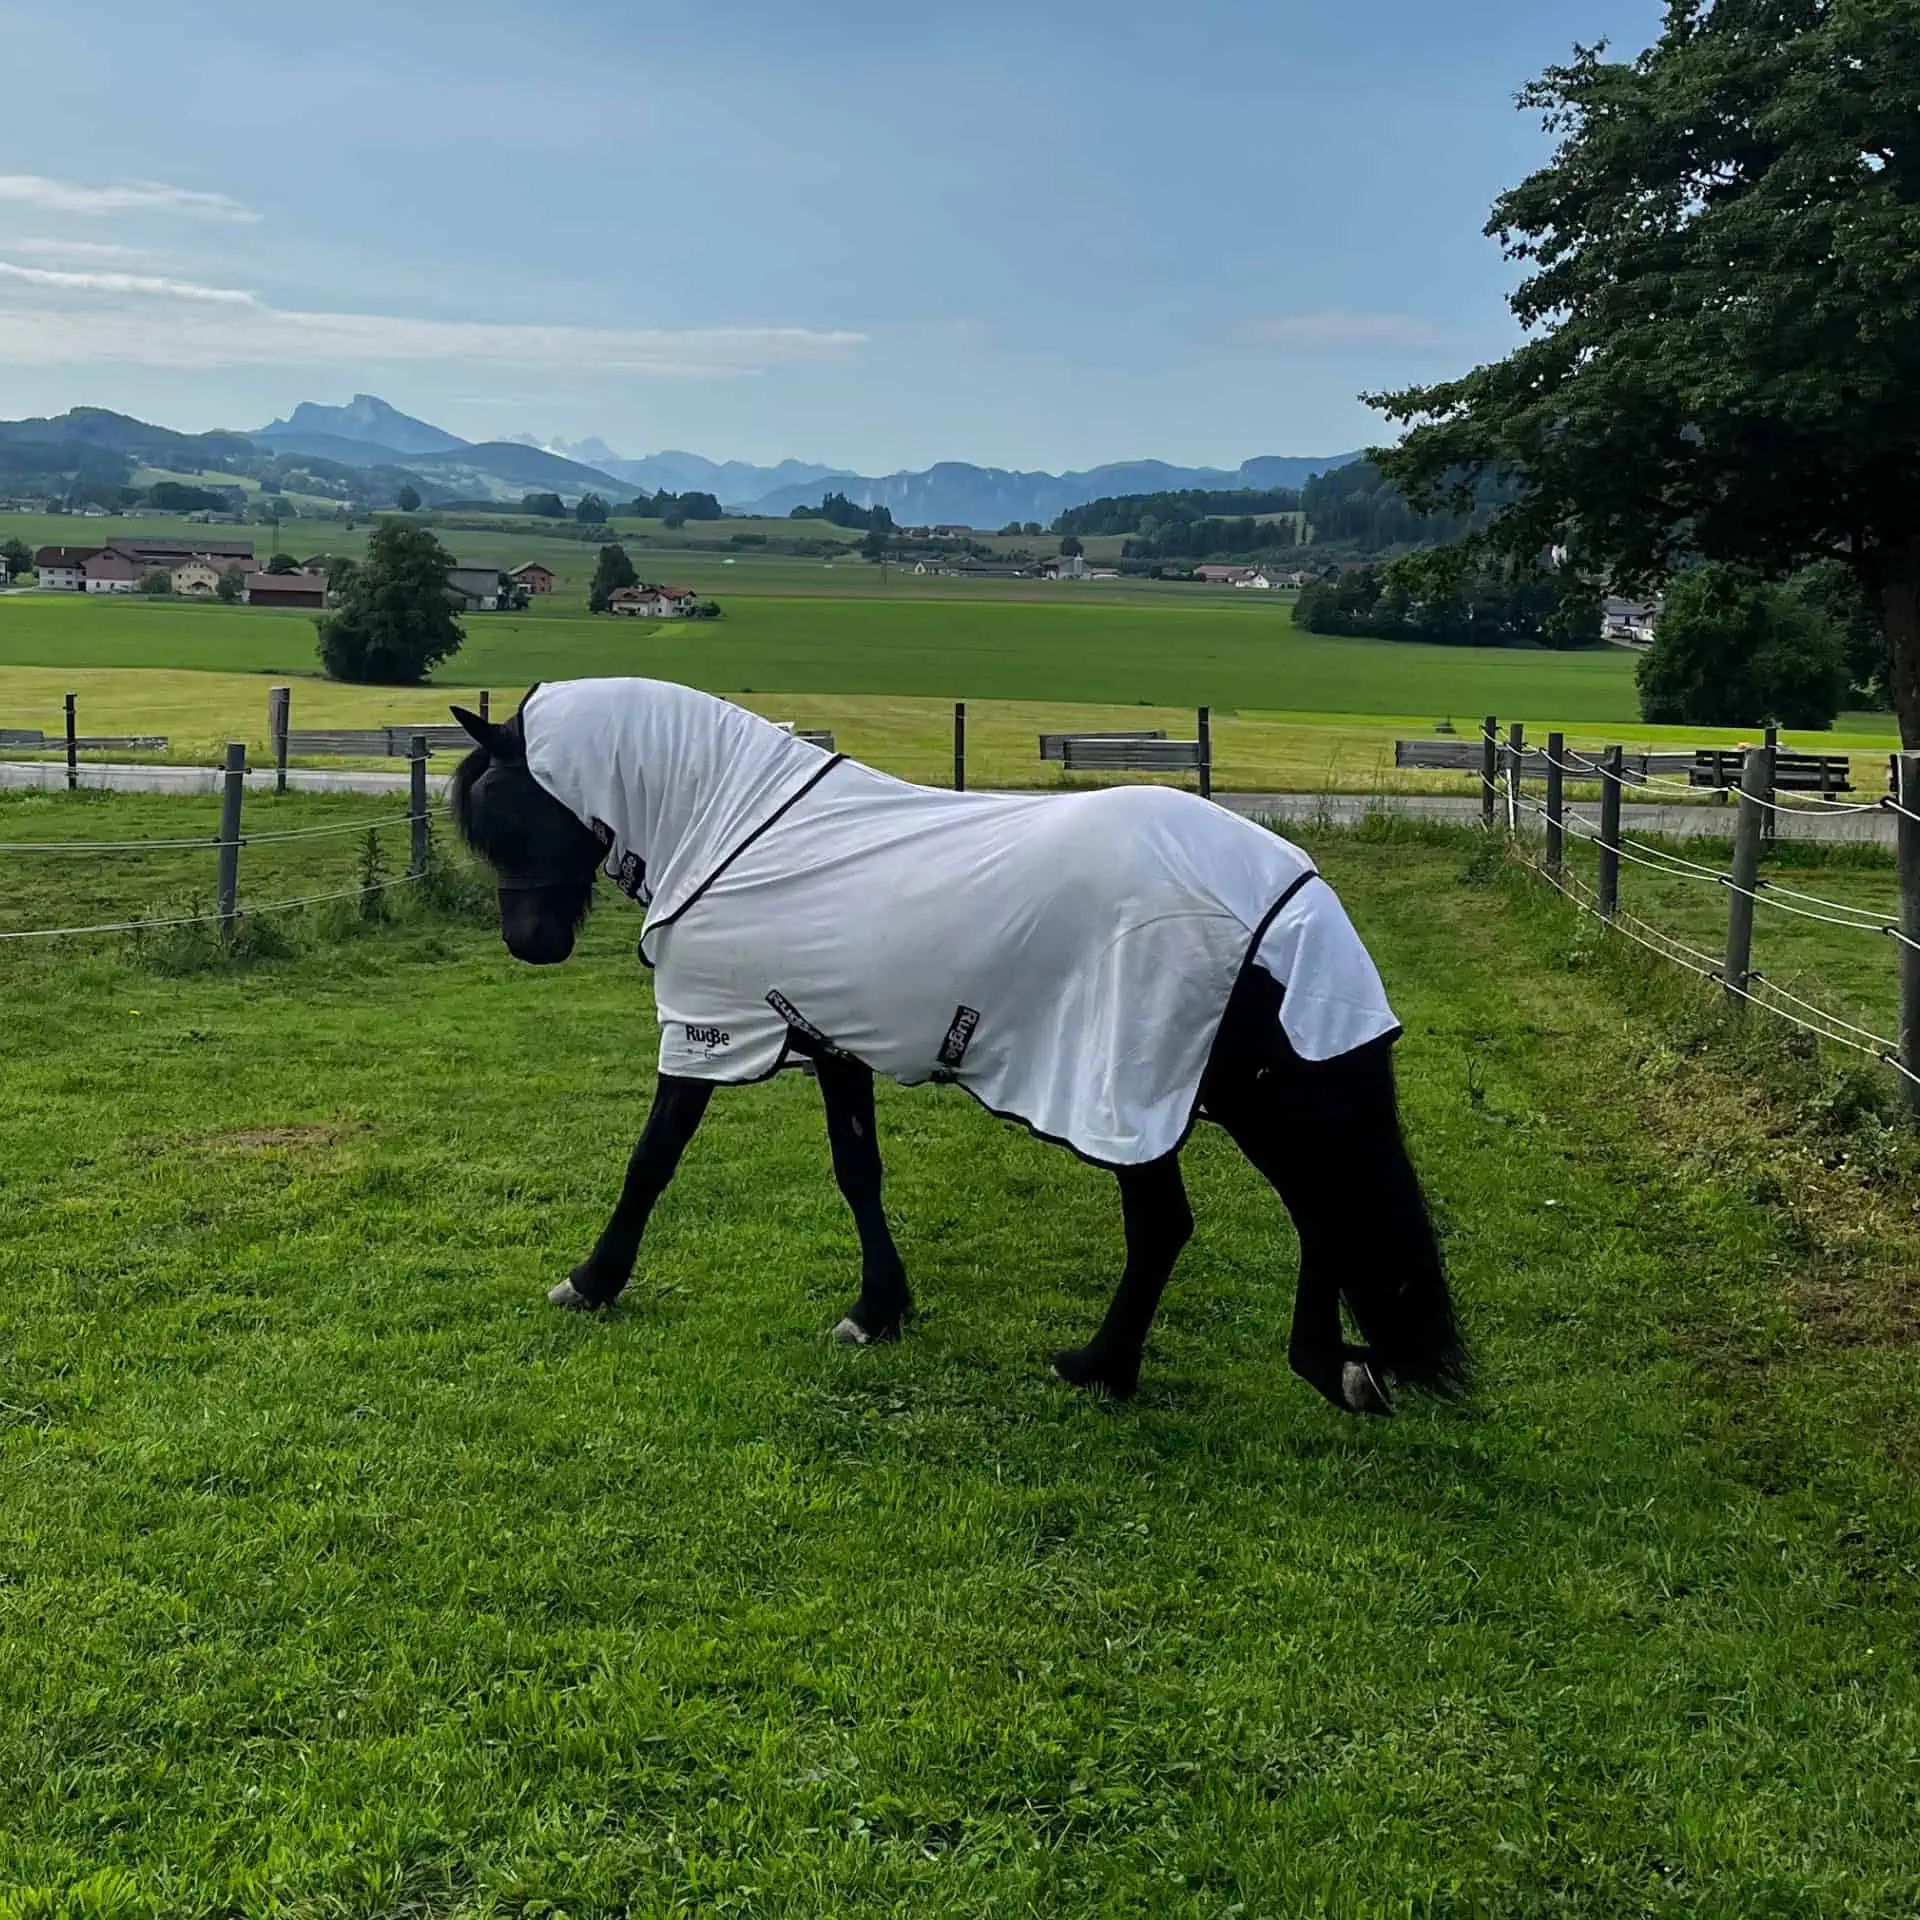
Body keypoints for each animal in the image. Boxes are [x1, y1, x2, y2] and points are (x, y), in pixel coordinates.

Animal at [448, 679, 1465, 1413]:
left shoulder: (710, 1031)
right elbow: (857, 1172)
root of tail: (1286, 896)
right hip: (1251, 1091)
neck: (732, 827)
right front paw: (877, 1313)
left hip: (1133, 1090)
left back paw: (1099, 1368)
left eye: (505, 811)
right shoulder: (828, 1037)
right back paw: (1328, 1367)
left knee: (1180, 1224)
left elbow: (652, 1158)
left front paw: (591, 1281)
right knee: (1321, 1210)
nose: (531, 945)